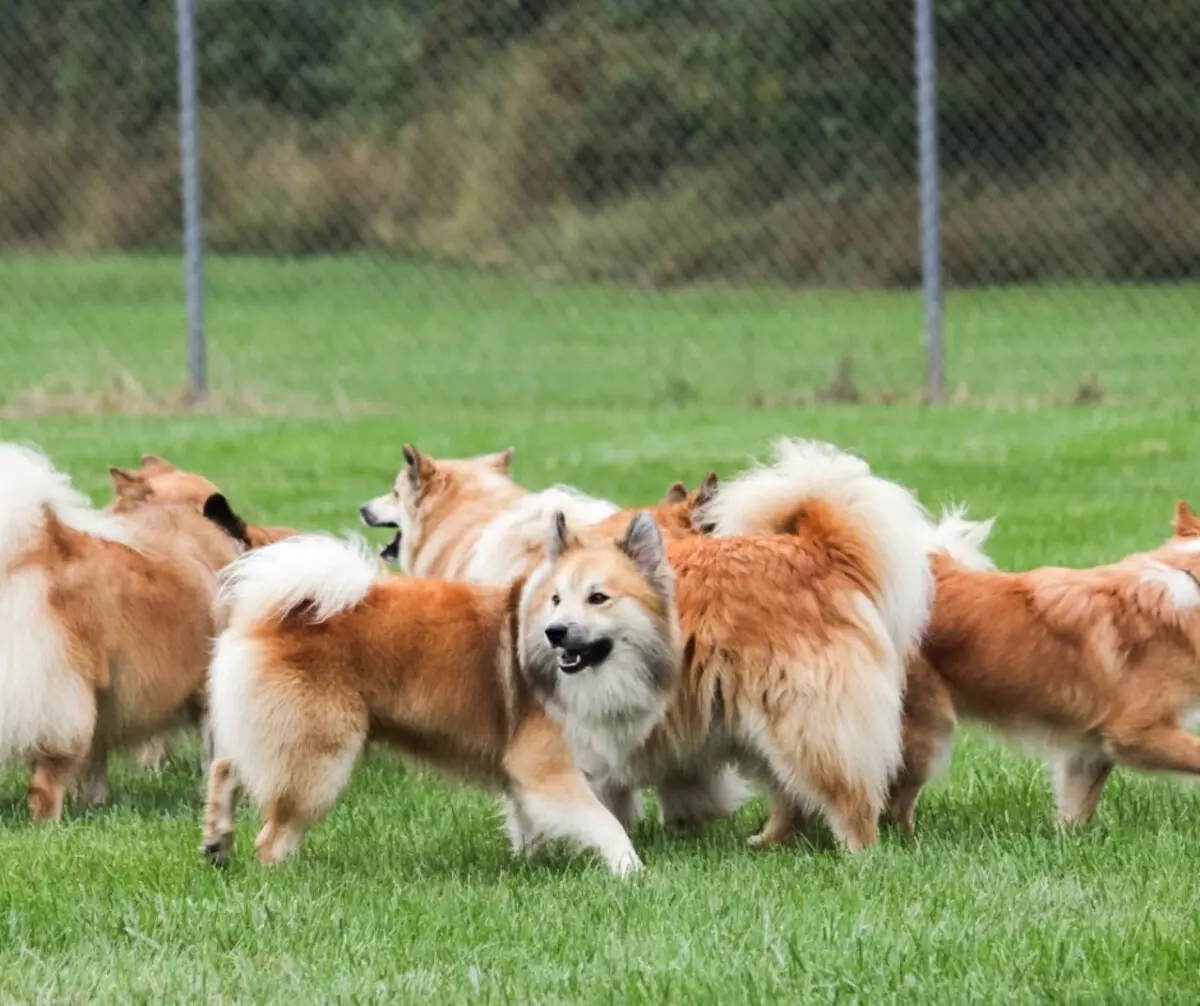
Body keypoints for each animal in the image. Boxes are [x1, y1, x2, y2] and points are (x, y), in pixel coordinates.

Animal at [0, 444, 253, 821]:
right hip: (65, 705)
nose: (243, 529)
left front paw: (93, 802)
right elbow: (217, 755)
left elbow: (95, 763)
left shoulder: (105, 701)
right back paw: (48, 823)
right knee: (47, 780)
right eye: (221, 510)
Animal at [200, 530, 672, 878]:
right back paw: (282, 877)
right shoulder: (547, 769)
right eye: (556, 599)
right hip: (320, 761)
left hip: (274, 734)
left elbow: (528, 824)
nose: (554, 632)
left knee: (226, 766)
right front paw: (631, 870)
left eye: (598, 598)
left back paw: (217, 841)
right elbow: (605, 822)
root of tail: (275, 613)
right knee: (272, 838)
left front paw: (529, 865)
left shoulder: (527, 776)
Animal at [520, 436, 931, 854]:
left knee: (848, 797)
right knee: (792, 796)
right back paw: (770, 841)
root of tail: (817, 550)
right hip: (760, 723)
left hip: (799, 718)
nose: (553, 632)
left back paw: (858, 852)